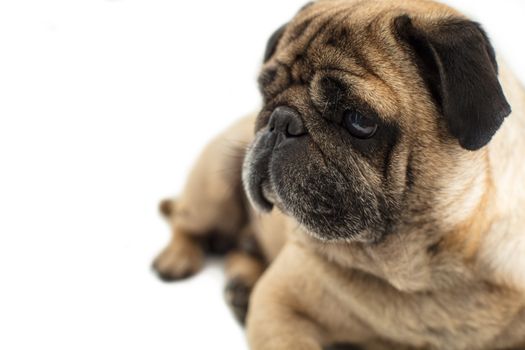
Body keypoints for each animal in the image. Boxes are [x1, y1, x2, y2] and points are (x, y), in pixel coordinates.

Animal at [151, 0, 524, 350]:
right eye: (264, 92)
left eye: (359, 120)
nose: (280, 121)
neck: (423, 271)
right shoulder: (278, 304)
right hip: (211, 190)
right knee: (186, 222)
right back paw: (177, 259)